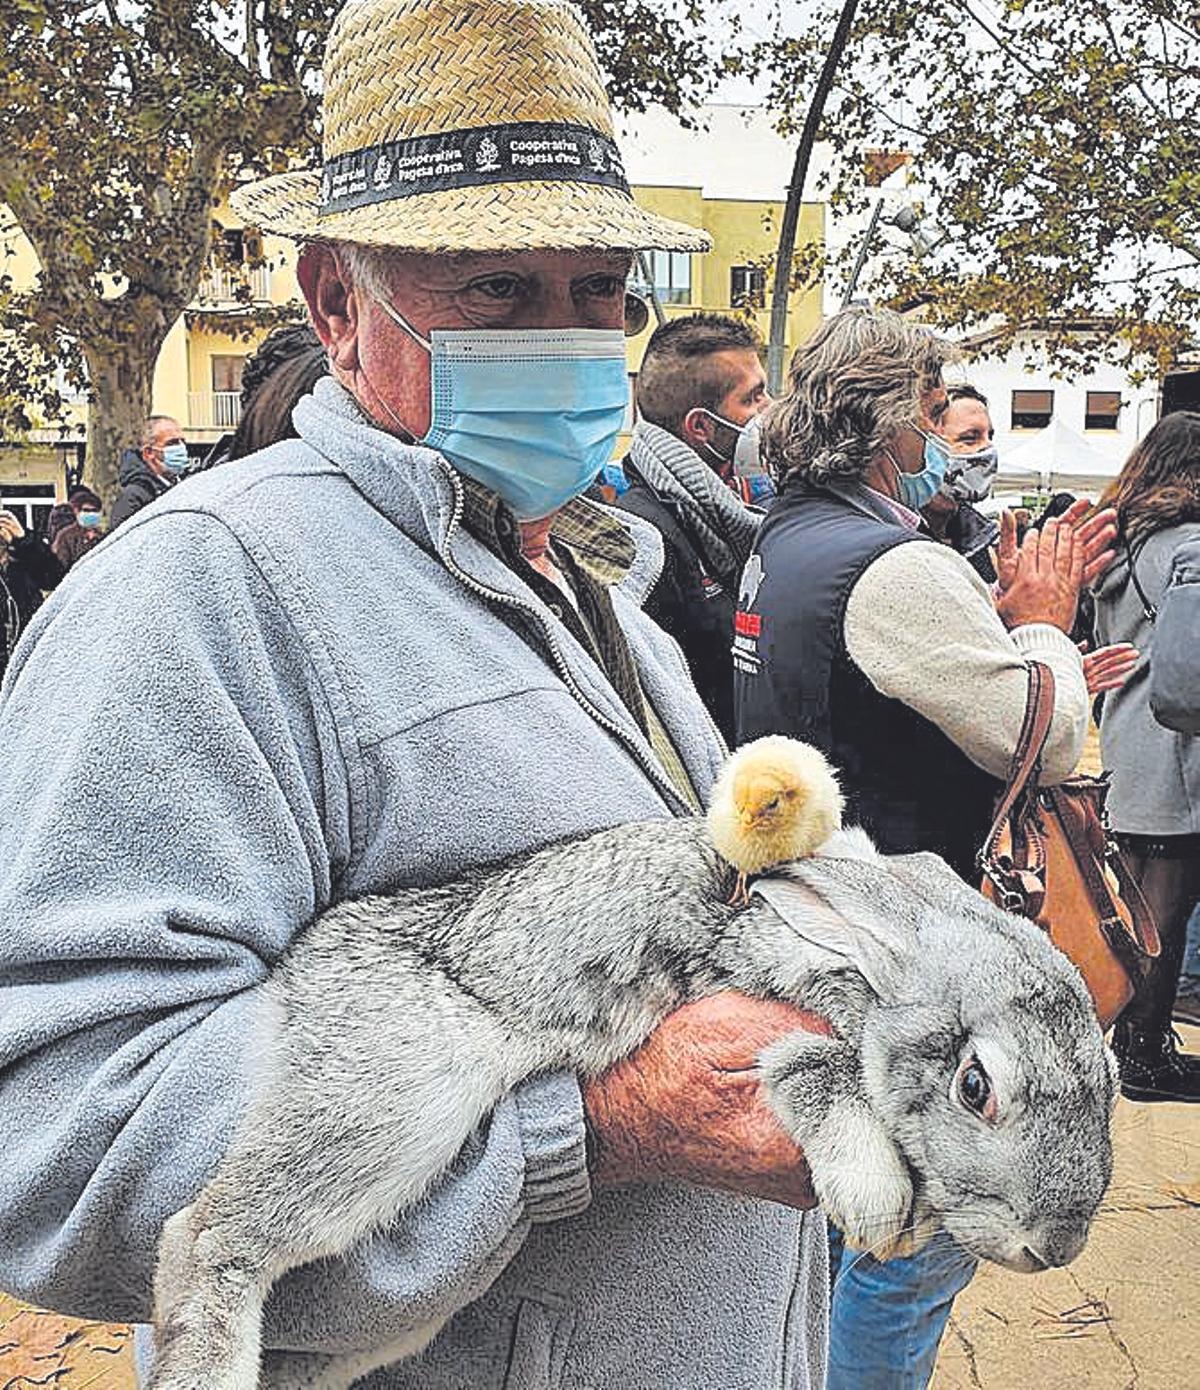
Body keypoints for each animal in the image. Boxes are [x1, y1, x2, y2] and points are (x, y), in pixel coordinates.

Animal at [148, 739, 1117, 1390]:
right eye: (976, 1086)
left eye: (1108, 1086)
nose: (1055, 1247)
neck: (863, 957)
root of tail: (301, 974)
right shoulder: (761, 1000)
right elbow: (818, 1069)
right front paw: (877, 1202)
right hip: (390, 1105)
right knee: (205, 1234)